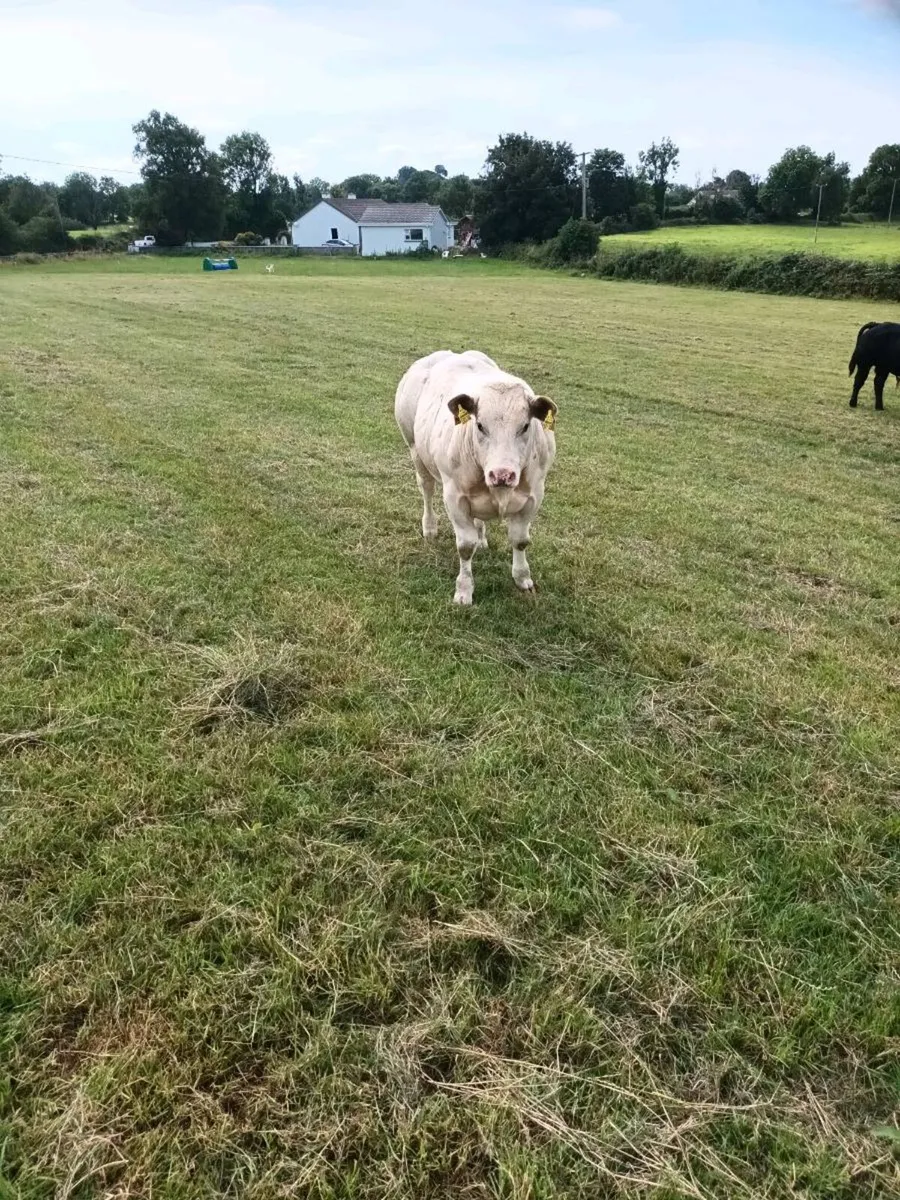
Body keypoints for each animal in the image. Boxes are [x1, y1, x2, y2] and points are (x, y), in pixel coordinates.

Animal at [394, 351, 558, 605]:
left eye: (525, 426)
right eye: (480, 425)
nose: (502, 474)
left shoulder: (534, 496)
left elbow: (520, 540)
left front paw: (522, 578)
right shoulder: (454, 498)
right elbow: (465, 546)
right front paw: (464, 590)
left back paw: (482, 538)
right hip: (414, 448)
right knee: (426, 489)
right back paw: (429, 528)